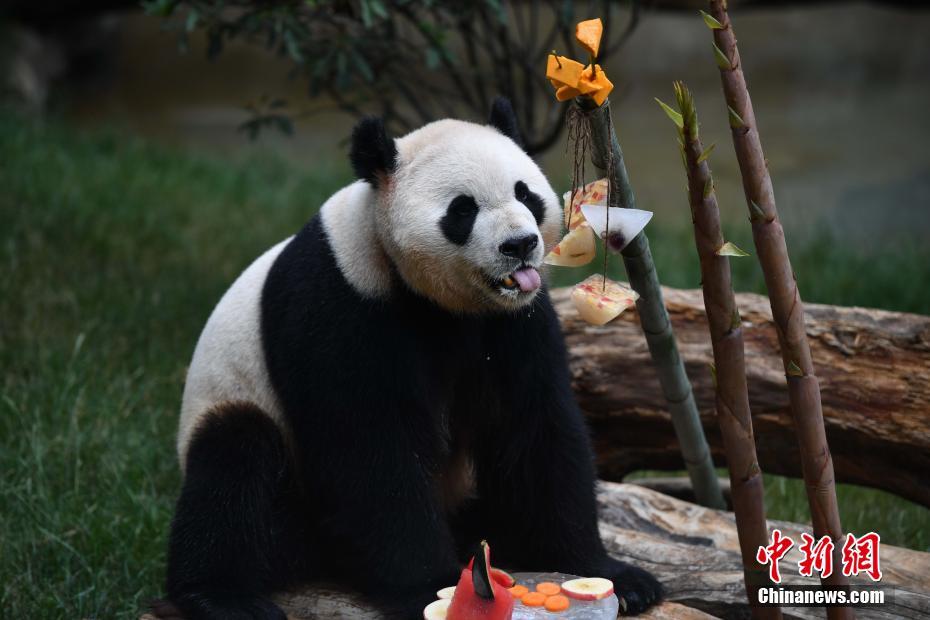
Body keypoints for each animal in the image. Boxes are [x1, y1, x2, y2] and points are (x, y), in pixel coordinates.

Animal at [165, 99, 660, 616]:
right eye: (463, 209)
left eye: (525, 194)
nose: (520, 245)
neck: (441, 302)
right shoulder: (342, 303)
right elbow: (371, 448)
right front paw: (433, 588)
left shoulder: (513, 322)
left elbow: (536, 428)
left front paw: (611, 574)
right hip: (248, 424)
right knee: (234, 466)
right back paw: (224, 597)